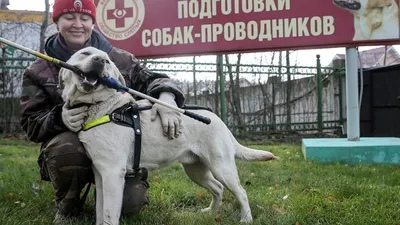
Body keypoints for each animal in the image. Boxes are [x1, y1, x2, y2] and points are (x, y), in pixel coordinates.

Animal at [58, 46, 278, 224]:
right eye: (85, 53)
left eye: (108, 61)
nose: (99, 61)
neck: (98, 107)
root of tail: (219, 120)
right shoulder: (100, 172)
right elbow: (100, 211)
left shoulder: (113, 173)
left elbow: (109, 215)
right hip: (196, 170)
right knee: (217, 188)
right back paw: (210, 213)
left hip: (222, 168)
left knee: (241, 192)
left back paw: (246, 219)